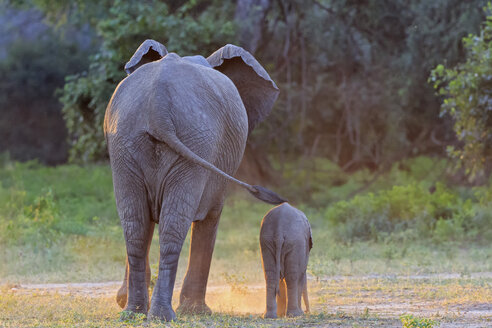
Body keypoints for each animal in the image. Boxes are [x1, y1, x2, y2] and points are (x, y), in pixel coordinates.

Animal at [105, 39, 284, 322]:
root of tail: (157, 106)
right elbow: (210, 218)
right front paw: (197, 311)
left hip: (128, 141)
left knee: (135, 224)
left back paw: (134, 314)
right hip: (189, 141)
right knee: (169, 224)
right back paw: (162, 315)